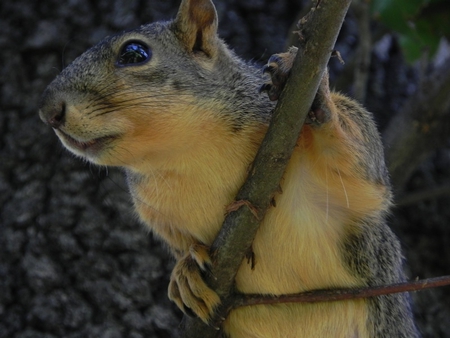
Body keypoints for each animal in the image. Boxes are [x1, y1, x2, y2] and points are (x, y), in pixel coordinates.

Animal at [38, 0, 418, 336]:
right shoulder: (156, 210)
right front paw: (184, 270)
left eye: (134, 53)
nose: (48, 112)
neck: (190, 154)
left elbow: (367, 179)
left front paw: (320, 101)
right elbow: (178, 242)